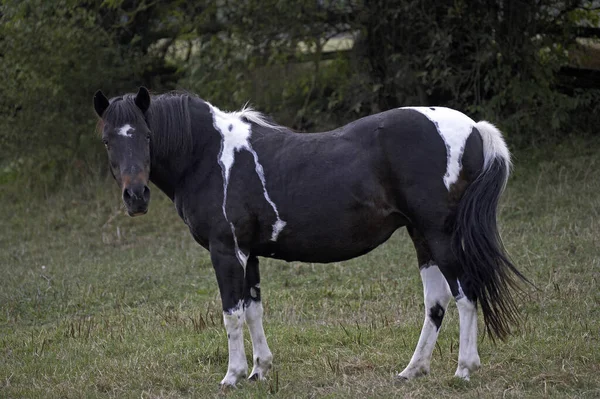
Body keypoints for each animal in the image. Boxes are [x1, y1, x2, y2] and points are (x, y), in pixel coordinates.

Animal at [92, 87, 524, 388]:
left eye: (147, 136)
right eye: (108, 139)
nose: (135, 197)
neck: (209, 156)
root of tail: (474, 128)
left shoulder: (227, 252)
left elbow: (231, 313)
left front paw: (232, 376)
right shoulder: (250, 254)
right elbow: (253, 310)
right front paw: (260, 371)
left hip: (440, 234)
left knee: (465, 295)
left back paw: (464, 370)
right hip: (422, 236)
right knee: (436, 303)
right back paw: (412, 370)